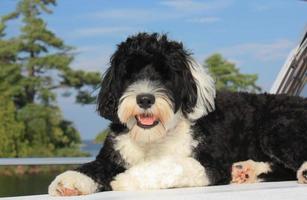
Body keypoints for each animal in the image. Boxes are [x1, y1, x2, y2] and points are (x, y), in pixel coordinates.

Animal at [48, 32, 307, 196]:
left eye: (166, 74)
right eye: (129, 74)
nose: (145, 99)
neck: (154, 138)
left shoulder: (211, 164)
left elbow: (172, 165)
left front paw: (127, 179)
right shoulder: (113, 156)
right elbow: (94, 167)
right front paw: (68, 181)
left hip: (276, 126)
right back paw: (247, 171)